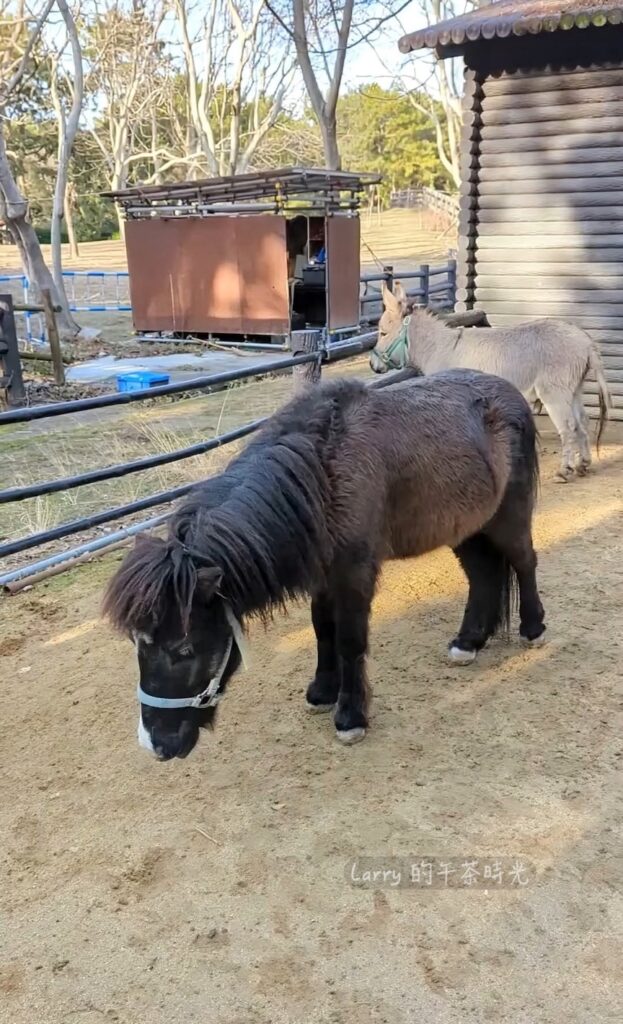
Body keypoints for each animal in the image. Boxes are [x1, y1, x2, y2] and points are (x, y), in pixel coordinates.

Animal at [104, 371, 544, 761]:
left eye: (184, 648)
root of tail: (512, 395)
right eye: (137, 644)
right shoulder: (322, 576)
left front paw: (350, 716)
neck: (322, 476)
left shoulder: (355, 574)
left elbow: (349, 640)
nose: (156, 745)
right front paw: (322, 691)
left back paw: (533, 628)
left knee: (524, 562)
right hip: (466, 526)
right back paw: (468, 642)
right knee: (483, 575)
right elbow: (322, 629)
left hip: (508, 516)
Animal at [370, 282, 612, 482]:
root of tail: (584, 340)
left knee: (568, 427)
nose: (373, 365)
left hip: (555, 393)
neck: (437, 347)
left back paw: (564, 471)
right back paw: (583, 465)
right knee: (583, 421)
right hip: (574, 389)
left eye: (382, 333)